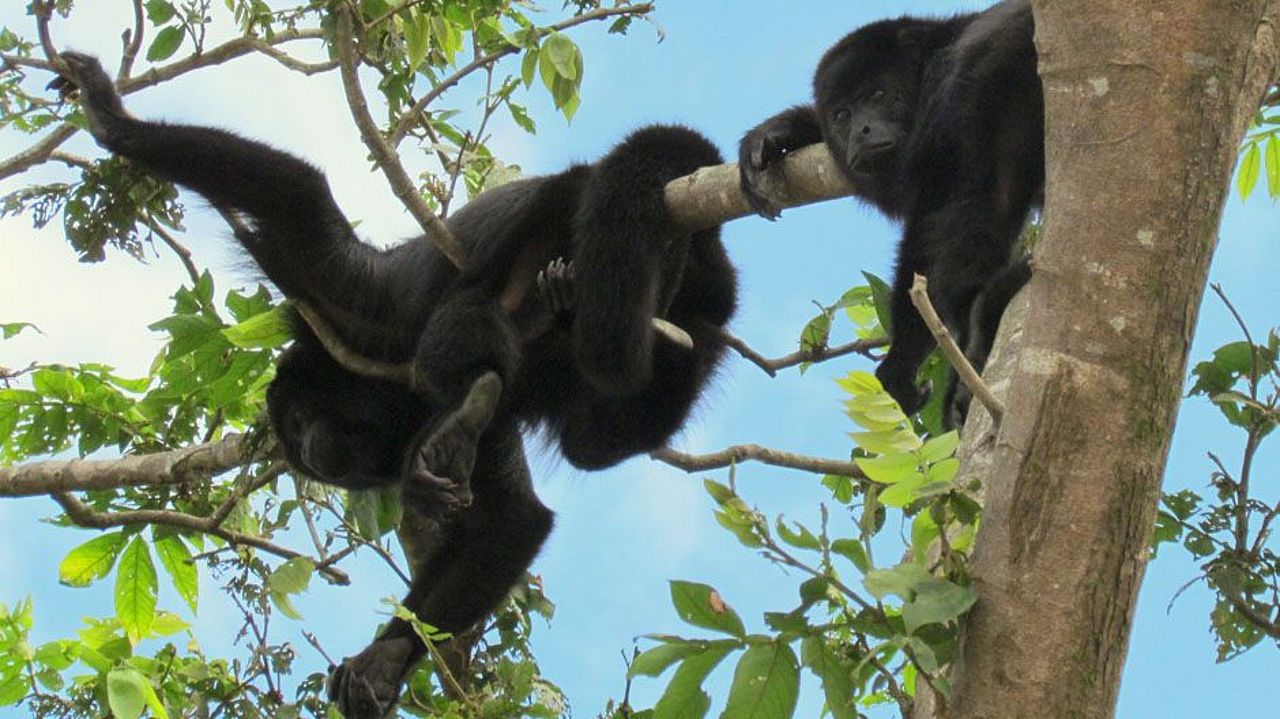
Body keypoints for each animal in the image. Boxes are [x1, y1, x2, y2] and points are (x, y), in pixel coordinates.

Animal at [52, 51, 742, 716]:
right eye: (305, 459)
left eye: (299, 425)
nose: (310, 455)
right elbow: (510, 524)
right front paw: (384, 659)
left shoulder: (354, 314)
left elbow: (296, 202)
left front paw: (111, 118)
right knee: (595, 438)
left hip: (564, 204)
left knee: (477, 311)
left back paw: (525, 328)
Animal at [742, 0, 1039, 422]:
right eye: (842, 115)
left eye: (880, 94)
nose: (862, 131)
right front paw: (781, 131)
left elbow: (948, 228)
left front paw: (906, 361)